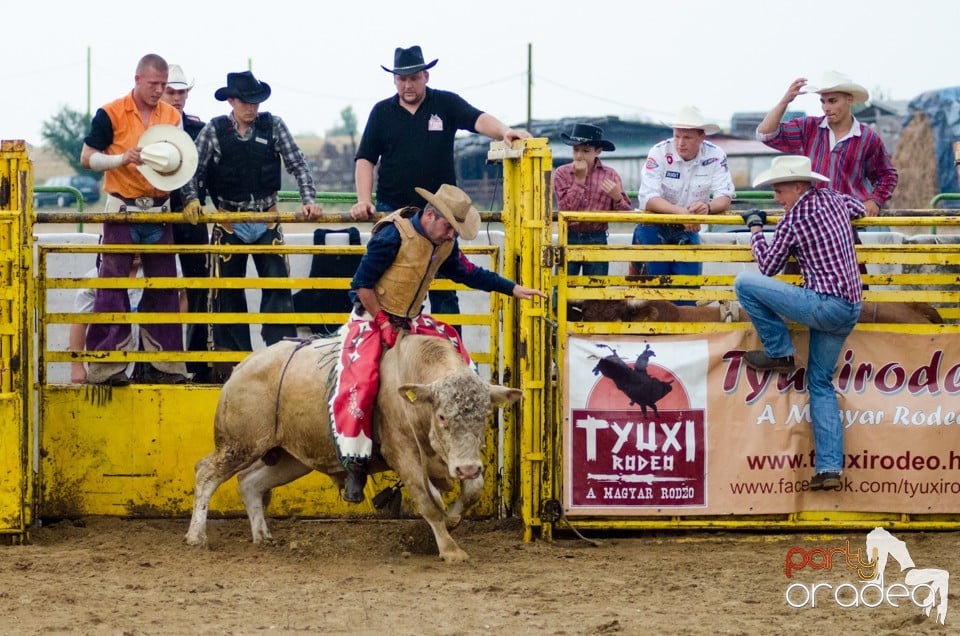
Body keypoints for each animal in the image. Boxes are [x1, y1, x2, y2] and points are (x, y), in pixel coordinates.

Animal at [185, 332, 520, 560]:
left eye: (485, 414)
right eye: (441, 416)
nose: (466, 467)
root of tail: (241, 367)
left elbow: (471, 491)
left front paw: (452, 517)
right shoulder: (403, 454)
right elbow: (427, 501)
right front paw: (450, 549)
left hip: (291, 458)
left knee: (250, 483)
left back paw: (262, 535)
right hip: (239, 443)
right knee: (206, 472)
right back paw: (196, 536)